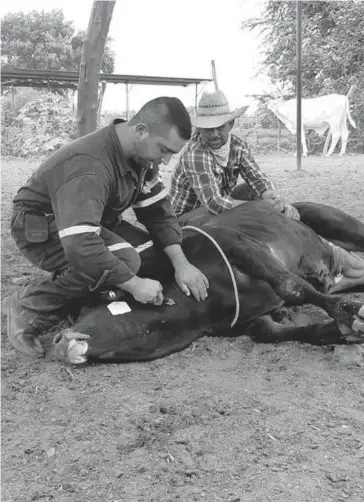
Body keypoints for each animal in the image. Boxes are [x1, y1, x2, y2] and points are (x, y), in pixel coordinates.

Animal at [52, 201, 364, 364]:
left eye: (105, 296)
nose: (58, 339)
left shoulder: (238, 244)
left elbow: (291, 285)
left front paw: (350, 313)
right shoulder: (248, 321)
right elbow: (273, 332)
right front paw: (339, 331)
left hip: (332, 219)